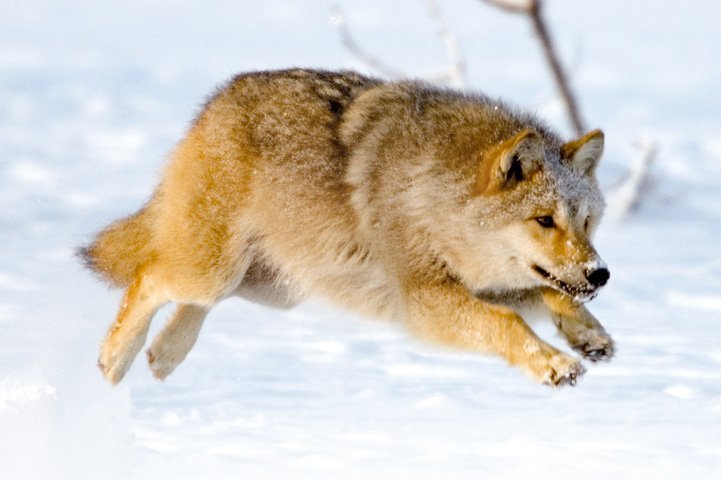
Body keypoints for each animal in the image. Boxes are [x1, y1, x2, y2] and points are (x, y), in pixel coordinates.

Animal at [83, 69, 612, 388]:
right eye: (544, 220)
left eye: (586, 221)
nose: (601, 274)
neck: (433, 191)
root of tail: (217, 101)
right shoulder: (422, 301)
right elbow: (509, 321)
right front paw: (554, 362)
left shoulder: (481, 285)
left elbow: (550, 295)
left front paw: (588, 335)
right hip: (215, 270)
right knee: (149, 275)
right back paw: (115, 360)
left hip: (269, 285)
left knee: (182, 299)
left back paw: (164, 354)